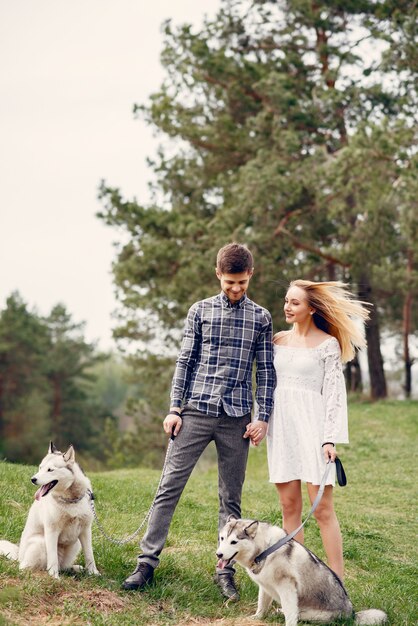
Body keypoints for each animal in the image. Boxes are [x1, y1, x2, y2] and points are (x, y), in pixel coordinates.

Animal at [0, 442, 99, 576]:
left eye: (50, 469)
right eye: (40, 467)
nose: (33, 479)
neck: (70, 500)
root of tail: (19, 555)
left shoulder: (85, 530)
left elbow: (89, 555)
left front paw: (94, 573)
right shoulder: (51, 530)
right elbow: (53, 559)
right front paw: (54, 576)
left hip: (76, 543)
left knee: (63, 566)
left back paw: (75, 568)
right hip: (41, 542)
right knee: (25, 567)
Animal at [217, 516, 386, 624]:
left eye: (234, 542)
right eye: (222, 538)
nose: (218, 554)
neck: (265, 550)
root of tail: (351, 614)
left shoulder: (287, 587)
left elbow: (290, 614)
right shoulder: (265, 586)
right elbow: (262, 605)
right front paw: (257, 618)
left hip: (313, 614)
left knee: (298, 614)